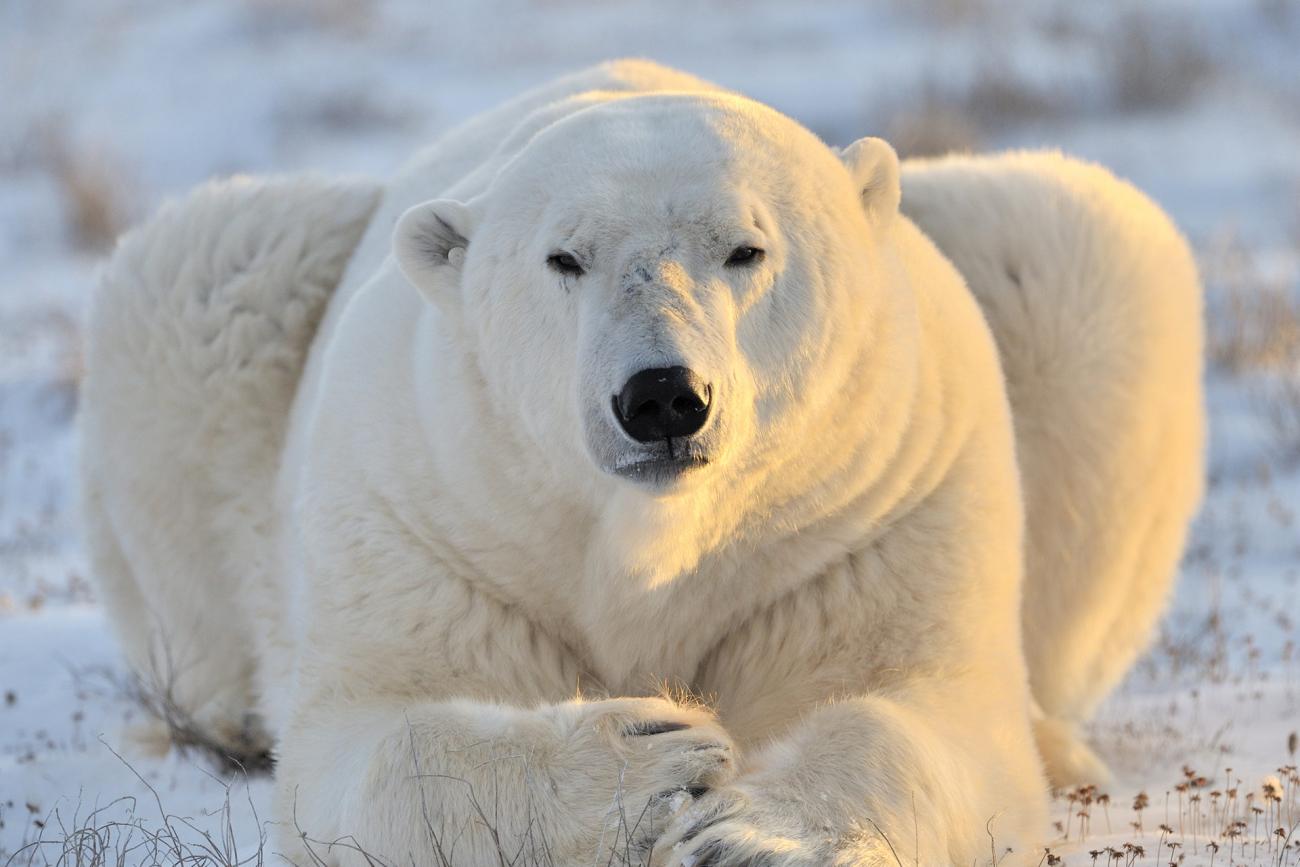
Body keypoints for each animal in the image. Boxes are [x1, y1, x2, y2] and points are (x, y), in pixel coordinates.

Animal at [78, 59, 1203, 866]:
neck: (654, 543)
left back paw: (1062, 743)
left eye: (746, 248)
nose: (662, 396)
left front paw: (754, 836)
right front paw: (651, 758)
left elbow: (918, 707)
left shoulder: (876, 511)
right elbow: (372, 736)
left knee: (1078, 241)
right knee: (201, 269)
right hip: (226, 311)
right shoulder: (428, 511)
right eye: (563, 257)